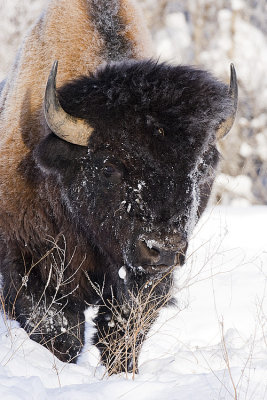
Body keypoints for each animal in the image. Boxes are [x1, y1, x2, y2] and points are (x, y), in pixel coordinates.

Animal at [0, 0, 239, 376]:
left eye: (201, 167)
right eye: (110, 166)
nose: (162, 248)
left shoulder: (147, 282)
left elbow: (123, 330)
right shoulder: (31, 266)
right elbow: (59, 333)